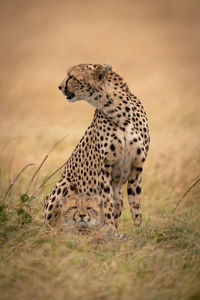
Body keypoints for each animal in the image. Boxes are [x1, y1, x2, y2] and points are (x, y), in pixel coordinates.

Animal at [44, 63, 149, 237]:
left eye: (71, 76)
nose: (59, 87)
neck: (118, 110)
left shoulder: (137, 167)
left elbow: (136, 204)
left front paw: (139, 230)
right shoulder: (105, 167)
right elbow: (106, 201)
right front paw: (109, 228)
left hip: (119, 195)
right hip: (65, 183)